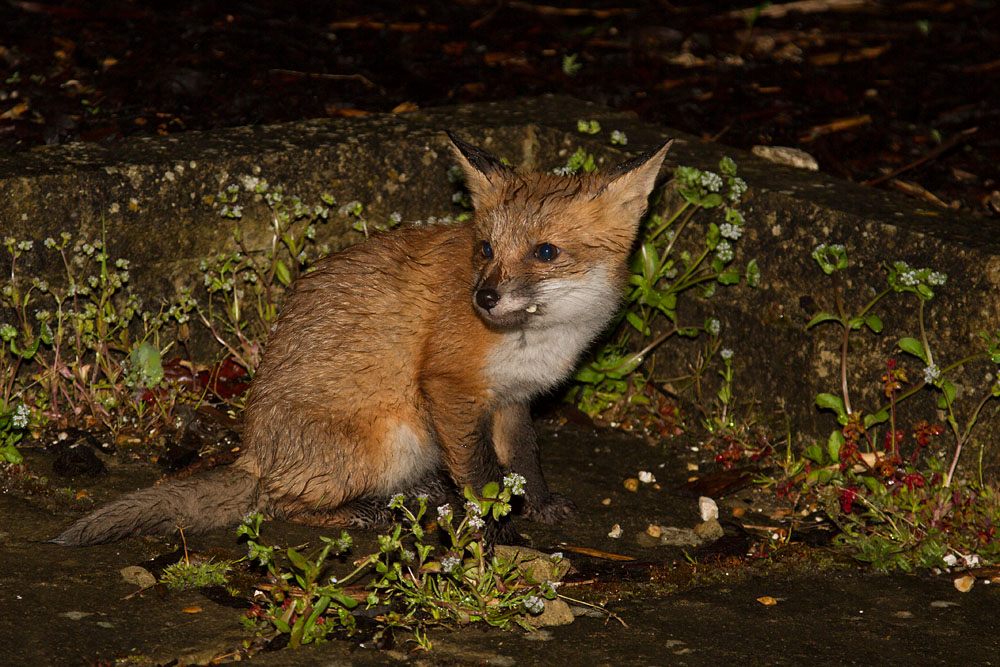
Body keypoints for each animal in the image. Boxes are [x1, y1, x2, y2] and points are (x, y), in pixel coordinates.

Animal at [53, 133, 672, 546]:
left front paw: (538, 505)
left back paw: (417, 496)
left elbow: (524, 462)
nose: (485, 299)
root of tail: (254, 452)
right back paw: (363, 513)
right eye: (486, 250)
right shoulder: (451, 386)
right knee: (276, 504)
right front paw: (496, 535)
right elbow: (481, 474)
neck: (541, 338)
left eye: (546, 252)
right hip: (392, 436)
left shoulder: (511, 399)